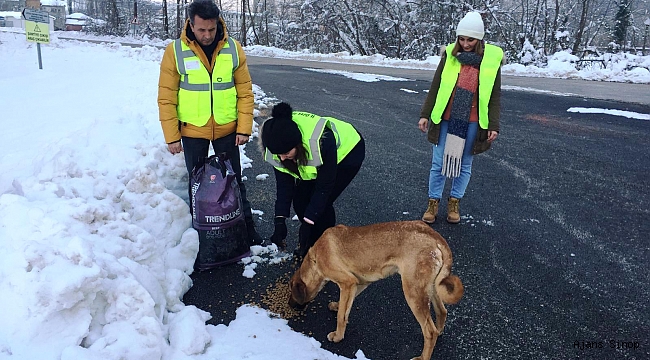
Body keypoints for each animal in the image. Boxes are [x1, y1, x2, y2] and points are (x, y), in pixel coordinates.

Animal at [288, 219, 460, 360]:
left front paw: (337, 336)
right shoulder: (359, 283)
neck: (315, 259)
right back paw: (440, 331)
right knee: (442, 312)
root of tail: (435, 237)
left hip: (413, 292)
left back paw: (423, 356)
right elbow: (345, 308)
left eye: (291, 293)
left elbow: (341, 317)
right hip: (431, 287)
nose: (289, 305)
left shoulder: (347, 282)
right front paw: (337, 306)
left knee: (430, 331)